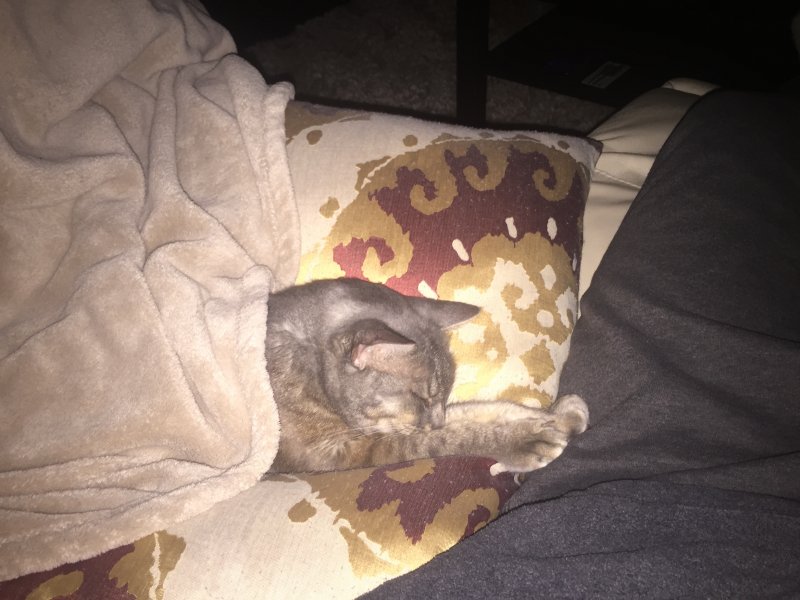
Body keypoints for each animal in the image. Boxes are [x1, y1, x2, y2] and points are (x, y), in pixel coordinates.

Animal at [265, 278, 588, 474]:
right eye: (421, 397)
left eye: (444, 396)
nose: (437, 421)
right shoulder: (338, 452)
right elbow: (444, 440)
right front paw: (523, 440)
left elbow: (477, 410)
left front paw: (558, 416)